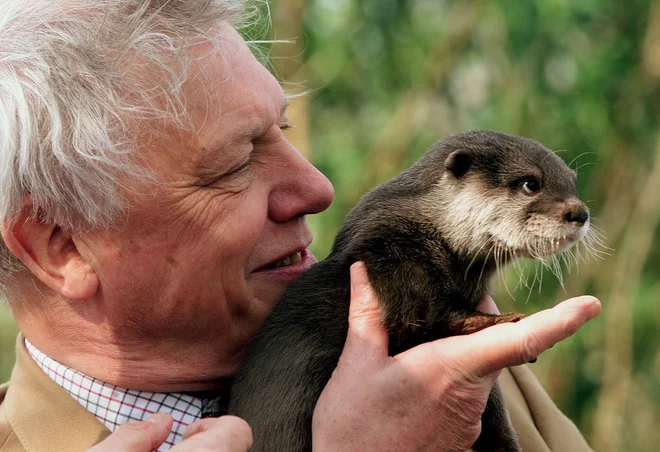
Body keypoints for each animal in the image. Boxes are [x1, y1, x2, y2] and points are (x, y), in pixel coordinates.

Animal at [229, 129, 592, 450]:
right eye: (530, 183)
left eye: (572, 183)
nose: (580, 212)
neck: (425, 226)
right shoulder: (395, 255)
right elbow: (434, 318)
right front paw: (506, 320)